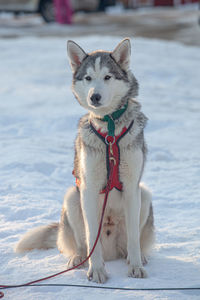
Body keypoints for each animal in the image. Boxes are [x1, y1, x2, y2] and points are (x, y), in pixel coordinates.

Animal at [16, 38, 155, 284]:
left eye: (107, 77)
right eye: (88, 78)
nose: (94, 97)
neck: (110, 130)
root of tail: (112, 252)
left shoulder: (132, 187)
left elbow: (133, 238)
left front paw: (136, 267)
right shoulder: (88, 188)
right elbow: (92, 237)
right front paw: (97, 270)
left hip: (144, 195)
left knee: (131, 242)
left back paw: (134, 257)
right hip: (72, 196)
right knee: (82, 244)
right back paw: (79, 259)